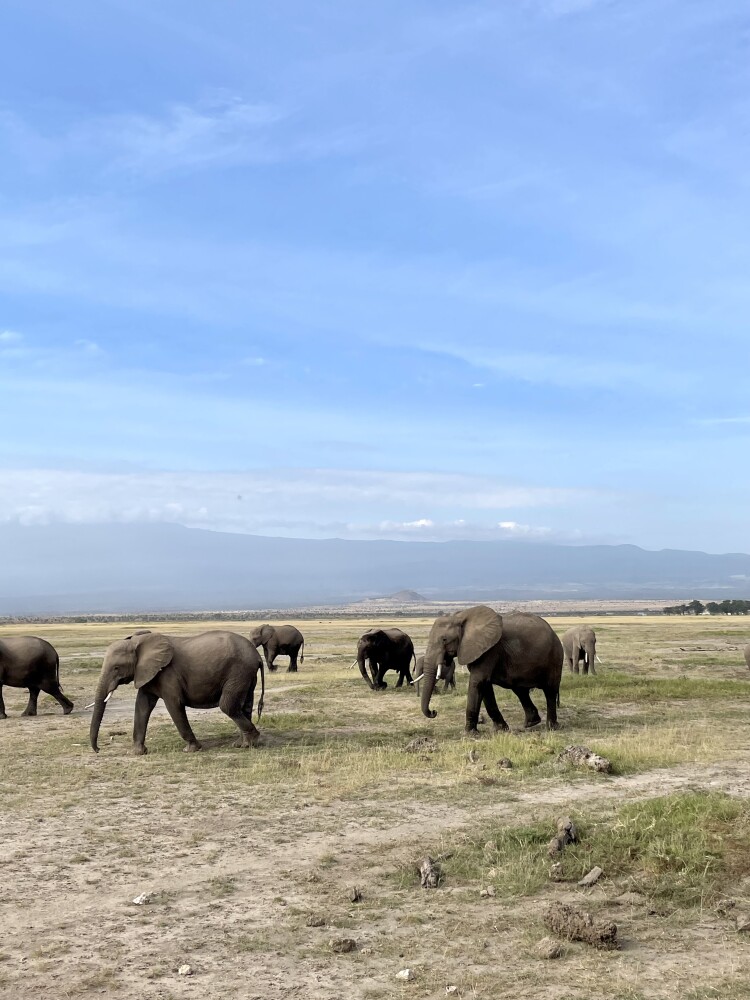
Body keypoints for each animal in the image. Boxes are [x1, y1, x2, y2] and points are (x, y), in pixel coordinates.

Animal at [89, 630, 264, 755]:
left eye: (116, 668)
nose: (98, 750)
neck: (137, 641)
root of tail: (257, 656)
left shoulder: (168, 674)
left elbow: (174, 704)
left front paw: (191, 749)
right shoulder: (148, 674)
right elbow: (142, 706)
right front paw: (137, 752)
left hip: (239, 671)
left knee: (227, 705)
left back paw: (250, 741)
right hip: (246, 674)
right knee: (244, 705)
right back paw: (243, 744)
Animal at [419, 606, 563, 734]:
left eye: (444, 639)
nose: (433, 711)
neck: (459, 616)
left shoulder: (490, 650)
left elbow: (478, 681)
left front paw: (469, 733)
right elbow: (485, 686)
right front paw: (500, 729)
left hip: (555, 656)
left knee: (550, 691)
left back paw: (551, 727)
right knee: (520, 690)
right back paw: (531, 723)